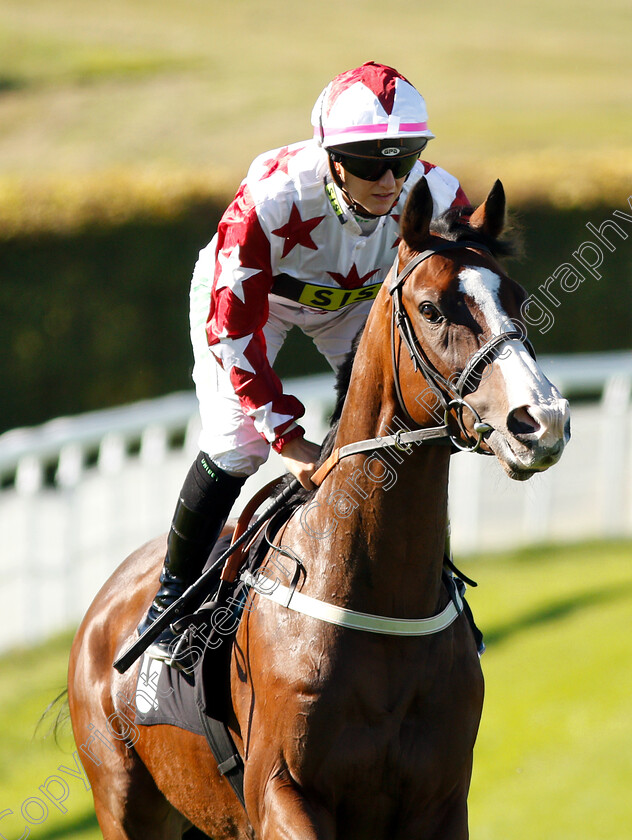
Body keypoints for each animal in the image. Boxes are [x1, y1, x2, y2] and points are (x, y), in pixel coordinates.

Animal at [66, 179, 572, 840]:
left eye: (515, 297)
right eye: (433, 308)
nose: (542, 422)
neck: (378, 594)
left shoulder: (439, 801)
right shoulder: (281, 793)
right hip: (123, 803)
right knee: (230, 448)